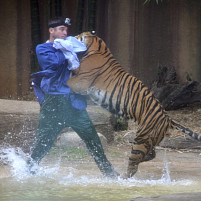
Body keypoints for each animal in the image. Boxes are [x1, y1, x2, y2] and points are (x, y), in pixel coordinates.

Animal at [67, 31, 201, 177]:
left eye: (79, 35)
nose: (71, 36)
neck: (98, 47)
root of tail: (168, 119)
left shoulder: (80, 82)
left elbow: (67, 80)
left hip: (141, 140)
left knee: (133, 165)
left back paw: (123, 177)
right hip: (149, 140)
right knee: (150, 155)